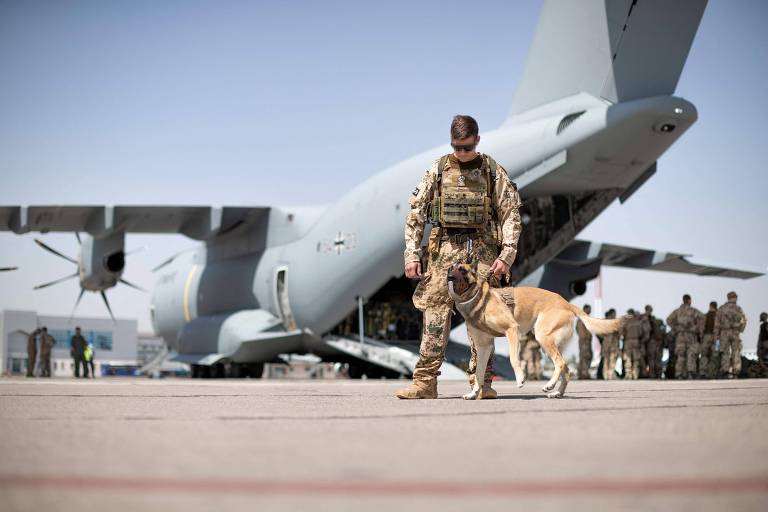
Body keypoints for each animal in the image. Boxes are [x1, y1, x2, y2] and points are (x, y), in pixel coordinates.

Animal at [450, 264, 624, 400]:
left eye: (463, 270)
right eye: (451, 268)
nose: (450, 277)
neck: (478, 298)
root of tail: (566, 303)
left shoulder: (511, 329)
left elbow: (513, 359)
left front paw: (520, 378)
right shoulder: (483, 347)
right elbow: (478, 373)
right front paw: (473, 393)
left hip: (543, 338)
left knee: (560, 363)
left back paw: (549, 385)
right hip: (550, 344)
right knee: (567, 370)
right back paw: (557, 393)